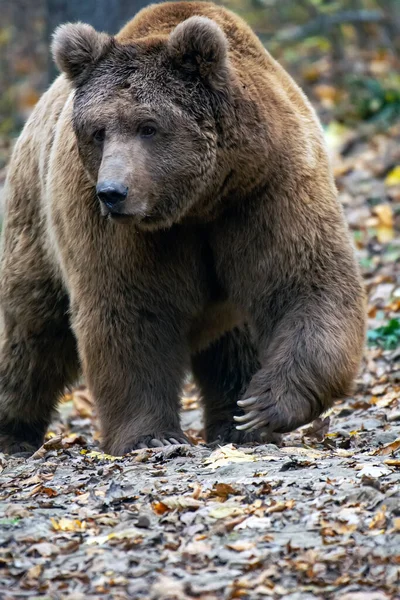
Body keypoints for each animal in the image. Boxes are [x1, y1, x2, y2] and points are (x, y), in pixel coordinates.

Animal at [0, 0, 366, 454]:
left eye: (148, 126)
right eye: (98, 131)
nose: (112, 192)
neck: (199, 201)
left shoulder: (268, 187)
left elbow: (307, 282)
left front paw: (261, 405)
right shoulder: (113, 228)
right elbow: (130, 313)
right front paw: (150, 434)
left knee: (236, 339)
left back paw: (237, 426)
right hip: (35, 225)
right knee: (32, 333)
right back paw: (13, 431)